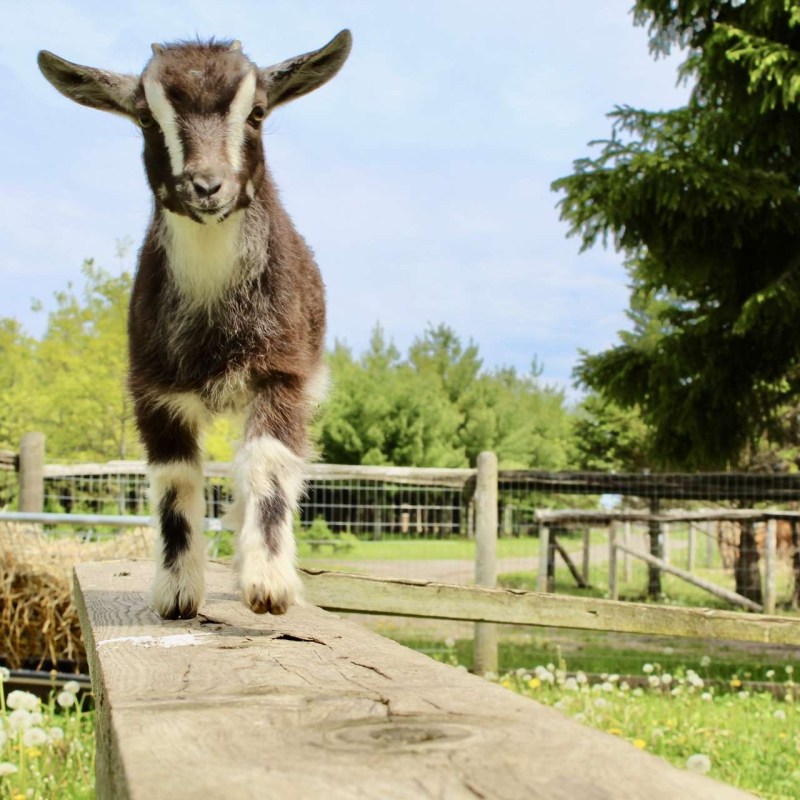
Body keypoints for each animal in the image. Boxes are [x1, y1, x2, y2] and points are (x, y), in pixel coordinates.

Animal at [38, 31, 352, 619]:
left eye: (257, 113)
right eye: (145, 118)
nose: (207, 186)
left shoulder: (284, 374)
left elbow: (268, 465)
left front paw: (269, 584)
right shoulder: (154, 387)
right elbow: (175, 480)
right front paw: (177, 594)